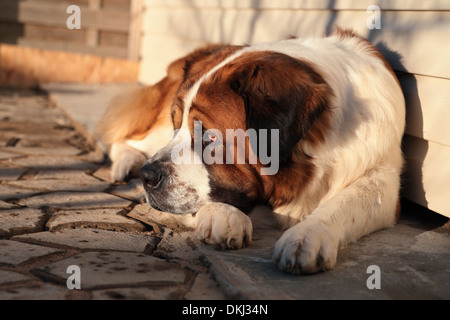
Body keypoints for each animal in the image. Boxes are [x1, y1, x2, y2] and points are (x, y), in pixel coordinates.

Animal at [99, 28, 408, 274]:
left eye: (210, 136)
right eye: (179, 125)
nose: (147, 177)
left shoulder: (384, 178)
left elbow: (346, 201)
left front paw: (308, 235)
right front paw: (224, 217)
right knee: (127, 137)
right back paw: (127, 163)